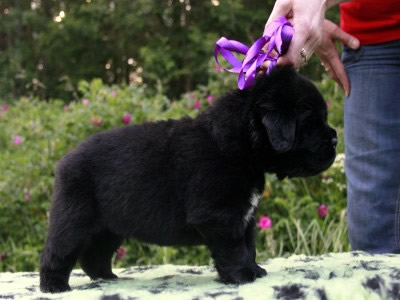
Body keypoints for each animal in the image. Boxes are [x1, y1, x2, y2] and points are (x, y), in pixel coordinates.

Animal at [39, 66, 336, 292]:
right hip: (74, 219)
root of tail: (64, 160)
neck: (237, 144)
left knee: (94, 255)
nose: (334, 139)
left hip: (109, 227)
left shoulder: (245, 215)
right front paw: (242, 275)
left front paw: (255, 270)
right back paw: (54, 287)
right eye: (311, 121)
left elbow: (248, 245)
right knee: (57, 251)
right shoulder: (220, 216)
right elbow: (234, 247)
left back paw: (107, 277)